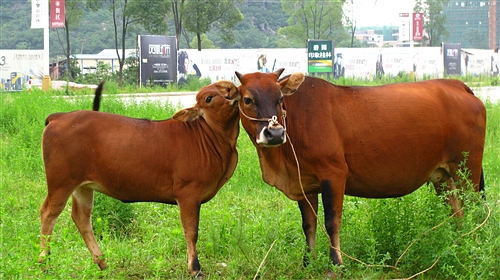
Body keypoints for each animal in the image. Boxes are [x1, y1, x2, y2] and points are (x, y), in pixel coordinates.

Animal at [38, 80, 240, 276]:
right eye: (209, 98)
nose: (232, 89)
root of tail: (61, 116)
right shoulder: (188, 193)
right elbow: (191, 232)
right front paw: (195, 269)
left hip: (83, 187)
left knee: (81, 218)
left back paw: (102, 262)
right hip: (61, 182)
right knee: (49, 214)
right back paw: (44, 264)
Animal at [229, 69, 484, 272]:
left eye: (280, 98)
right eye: (248, 99)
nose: (274, 134)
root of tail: (456, 85)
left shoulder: (334, 174)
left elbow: (332, 222)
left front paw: (335, 265)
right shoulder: (303, 183)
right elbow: (308, 225)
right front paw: (307, 263)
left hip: (467, 170)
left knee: (474, 210)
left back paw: (474, 248)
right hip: (444, 177)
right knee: (457, 214)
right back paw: (459, 245)